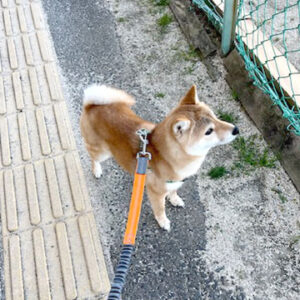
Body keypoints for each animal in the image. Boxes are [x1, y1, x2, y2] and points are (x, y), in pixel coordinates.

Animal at [79, 85, 239, 231]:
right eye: (209, 131)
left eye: (215, 117)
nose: (236, 129)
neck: (167, 156)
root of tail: (91, 105)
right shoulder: (156, 193)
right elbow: (160, 209)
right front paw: (163, 221)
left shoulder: (175, 182)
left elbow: (174, 191)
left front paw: (175, 199)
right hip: (102, 151)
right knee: (93, 157)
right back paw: (97, 170)